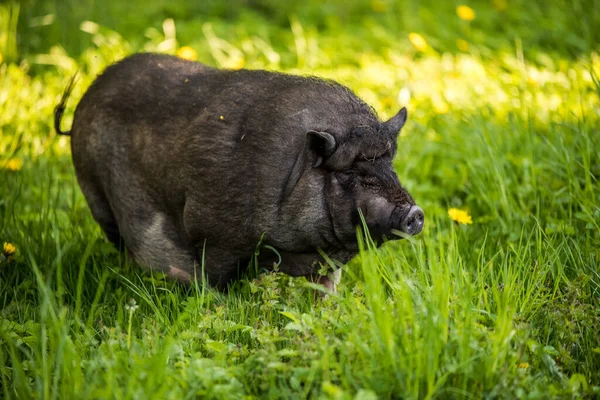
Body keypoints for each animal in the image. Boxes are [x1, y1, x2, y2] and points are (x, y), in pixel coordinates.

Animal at [54, 54, 424, 290]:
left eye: (388, 165)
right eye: (349, 174)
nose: (415, 212)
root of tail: (84, 99)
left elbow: (326, 288)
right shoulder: (213, 234)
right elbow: (217, 282)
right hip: (96, 195)